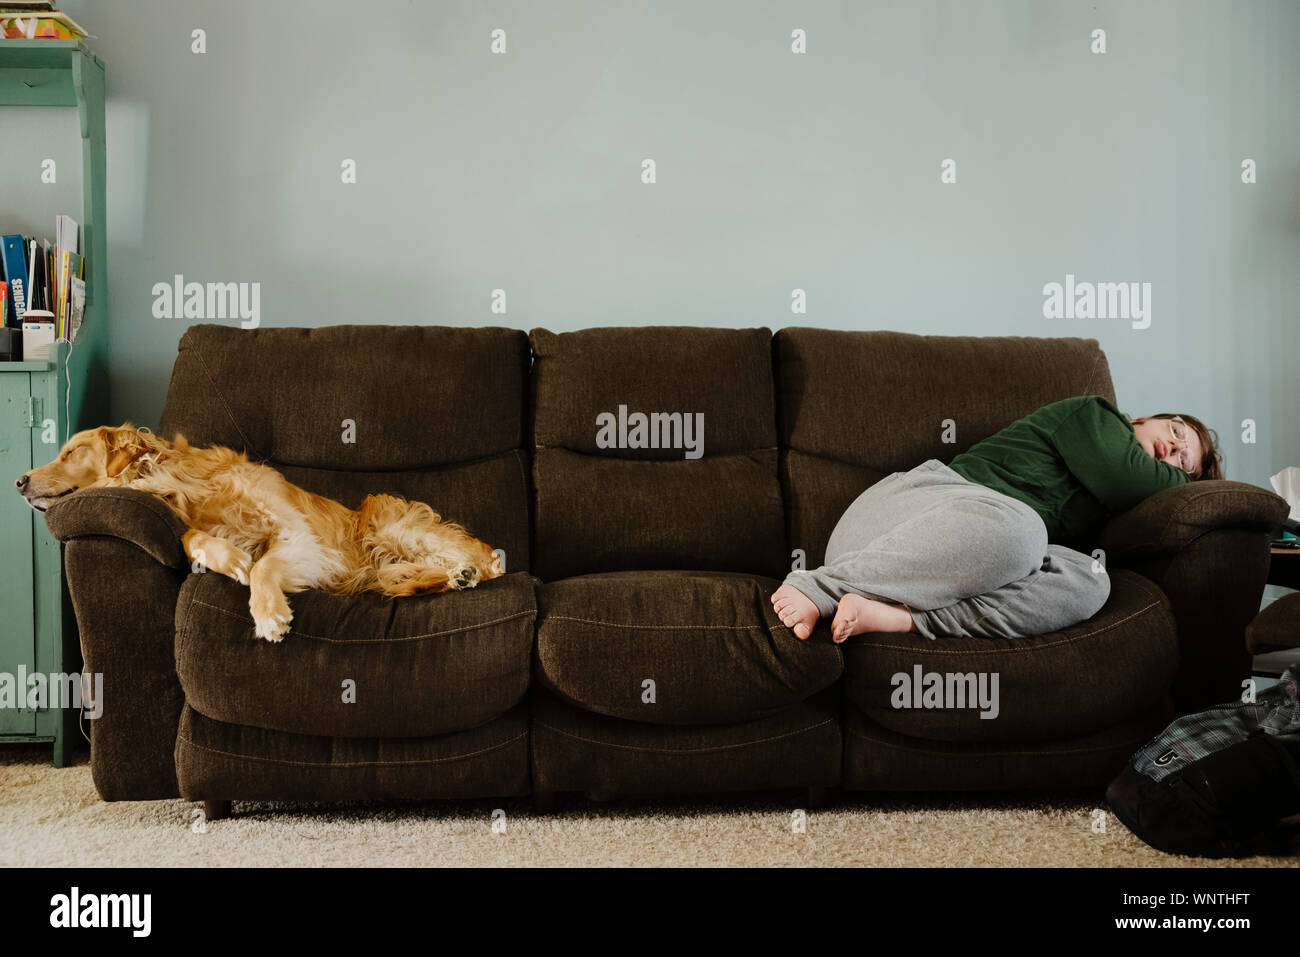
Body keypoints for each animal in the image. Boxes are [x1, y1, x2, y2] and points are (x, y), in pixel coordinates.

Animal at [16, 426, 501, 642]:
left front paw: (268, 614)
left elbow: (265, 567)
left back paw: (468, 570)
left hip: (392, 527)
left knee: (484, 558)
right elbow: (190, 538)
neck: (183, 483)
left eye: (71, 451)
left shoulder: (296, 534)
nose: (19, 481)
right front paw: (228, 557)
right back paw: (447, 579)